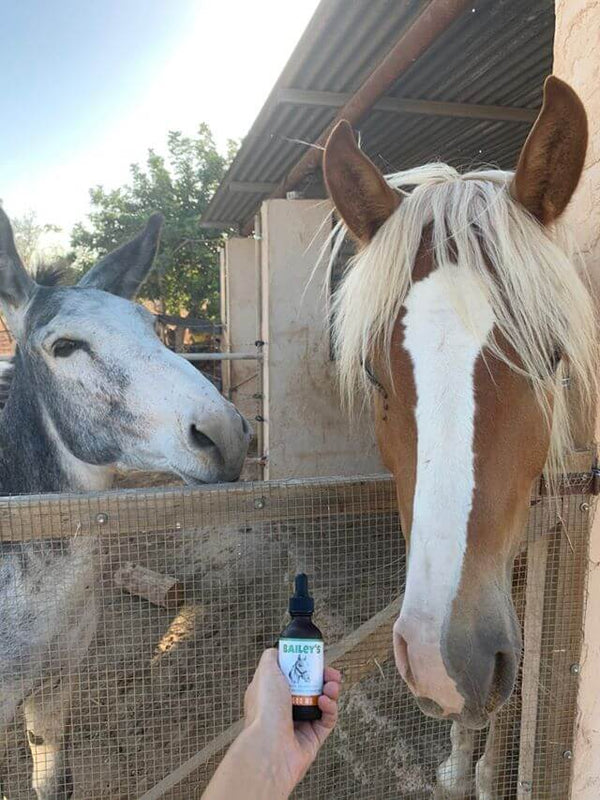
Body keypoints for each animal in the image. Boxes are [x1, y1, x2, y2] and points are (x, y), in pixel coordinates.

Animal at [322, 76, 597, 798]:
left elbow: (515, 690)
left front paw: (487, 775)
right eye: (373, 372)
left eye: (551, 356)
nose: (444, 661)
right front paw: (455, 763)